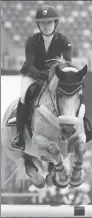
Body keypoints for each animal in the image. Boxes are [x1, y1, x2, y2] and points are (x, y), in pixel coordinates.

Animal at [1, 59, 87, 189]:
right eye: (59, 94)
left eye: (80, 96)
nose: (67, 131)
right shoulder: (38, 139)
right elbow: (53, 148)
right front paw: (63, 178)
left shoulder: (78, 136)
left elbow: (81, 147)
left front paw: (76, 177)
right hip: (14, 151)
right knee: (29, 165)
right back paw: (41, 180)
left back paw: (52, 177)